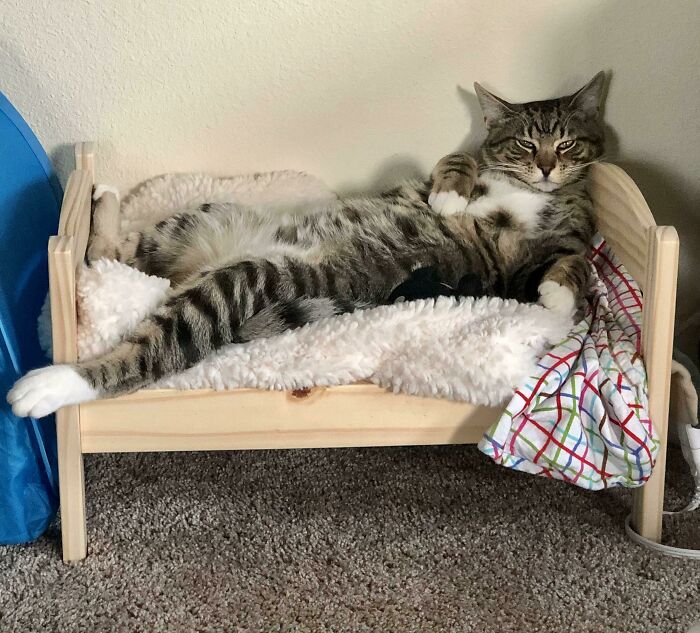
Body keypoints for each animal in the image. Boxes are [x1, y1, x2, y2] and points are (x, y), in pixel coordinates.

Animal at [8, 73, 604, 414]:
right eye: (525, 143)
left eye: (567, 144)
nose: (546, 166)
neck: (529, 190)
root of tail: (199, 269)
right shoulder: (443, 173)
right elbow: (454, 162)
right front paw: (452, 195)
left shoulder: (529, 257)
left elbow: (570, 258)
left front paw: (558, 294)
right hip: (206, 216)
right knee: (105, 254)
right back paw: (101, 202)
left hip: (240, 282)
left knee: (159, 345)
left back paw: (54, 385)